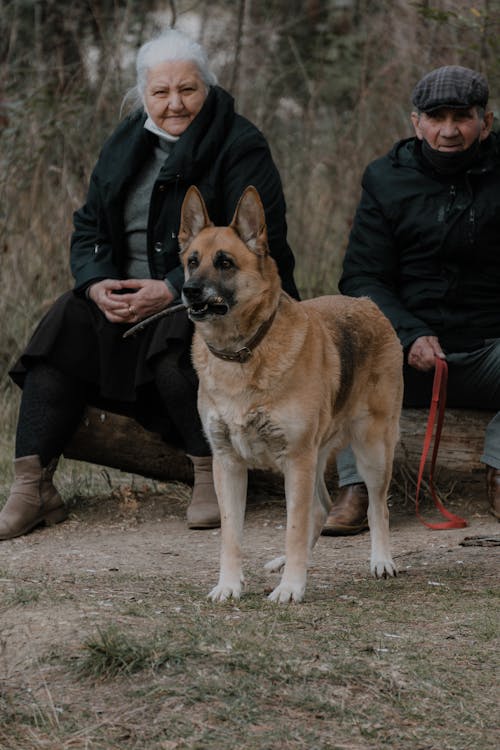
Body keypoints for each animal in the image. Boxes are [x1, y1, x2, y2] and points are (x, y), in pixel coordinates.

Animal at [179, 188, 402, 604]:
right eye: (192, 261)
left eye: (225, 263)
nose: (189, 291)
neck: (244, 352)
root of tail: (367, 303)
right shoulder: (227, 463)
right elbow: (231, 535)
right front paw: (229, 584)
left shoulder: (296, 458)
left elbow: (294, 527)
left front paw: (292, 588)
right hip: (316, 456)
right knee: (320, 508)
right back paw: (286, 563)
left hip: (372, 450)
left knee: (376, 508)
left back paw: (381, 561)